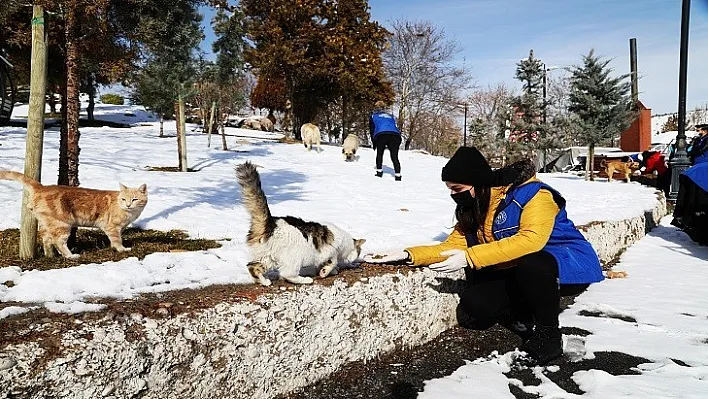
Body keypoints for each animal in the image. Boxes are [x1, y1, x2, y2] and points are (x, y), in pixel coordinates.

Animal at [0, 171, 147, 260]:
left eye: (134, 199)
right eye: (124, 199)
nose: (128, 205)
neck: (130, 213)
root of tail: (42, 187)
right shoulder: (112, 227)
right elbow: (117, 240)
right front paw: (122, 249)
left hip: (47, 223)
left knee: (46, 239)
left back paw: (50, 256)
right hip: (62, 225)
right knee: (58, 242)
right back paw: (71, 256)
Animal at [236, 161, 366, 286]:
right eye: (358, 252)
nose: (353, 261)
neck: (345, 241)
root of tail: (271, 223)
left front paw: (328, 270)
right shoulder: (330, 252)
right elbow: (332, 262)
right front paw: (325, 272)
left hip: (266, 257)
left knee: (252, 267)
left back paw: (264, 282)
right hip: (293, 258)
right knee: (286, 274)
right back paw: (306, 280)